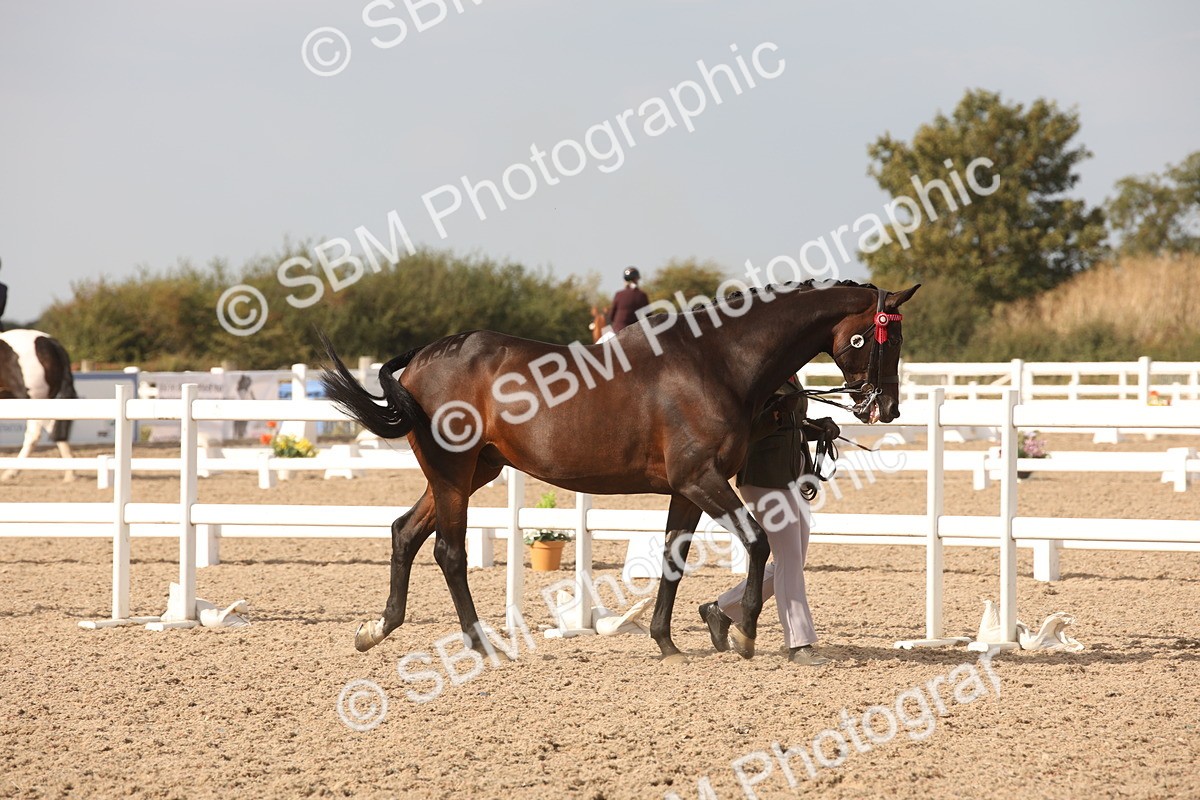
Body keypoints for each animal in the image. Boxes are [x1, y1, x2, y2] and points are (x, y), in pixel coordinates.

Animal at [321, 279, 919, 664]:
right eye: (885, 338)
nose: (885, 408)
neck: (715, 361)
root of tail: (426, 355)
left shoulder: (688, 488)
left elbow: (674, 558)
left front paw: (667, 643)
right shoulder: (702, 480)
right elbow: (757, 542)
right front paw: (745, 632)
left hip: (473, 473)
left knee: (404, 532)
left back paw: (375, 630)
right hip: (453, 474)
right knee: (447, 551)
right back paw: (482, 644)